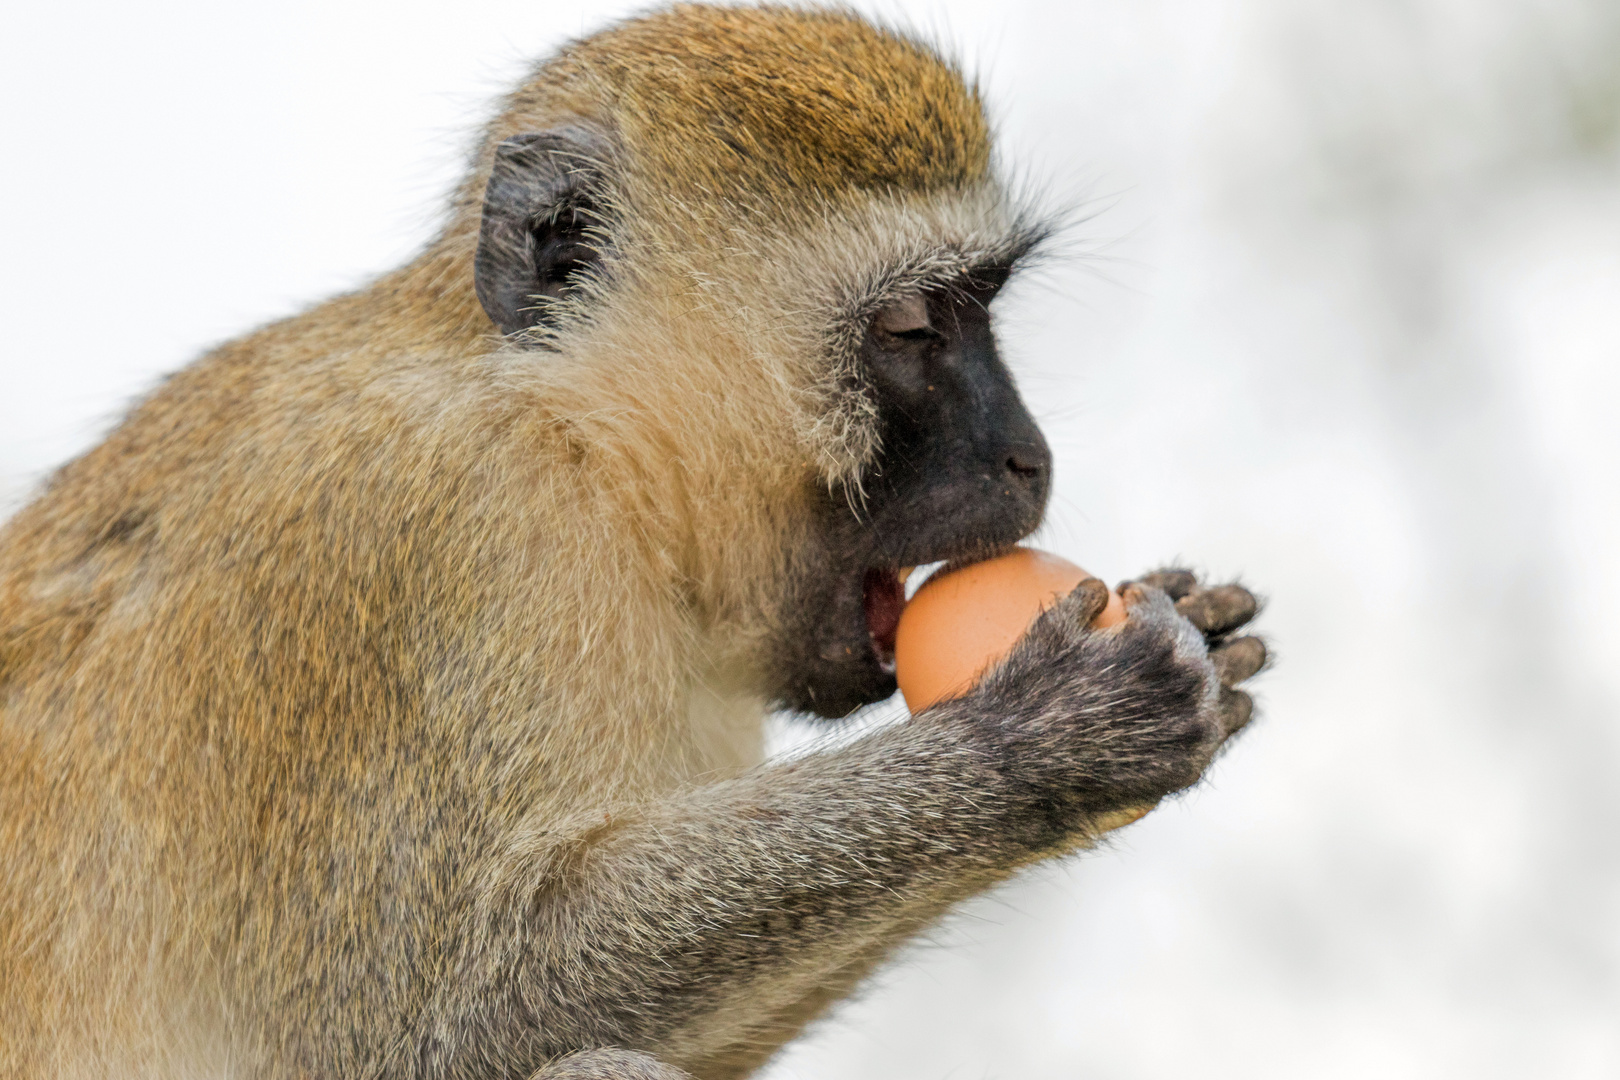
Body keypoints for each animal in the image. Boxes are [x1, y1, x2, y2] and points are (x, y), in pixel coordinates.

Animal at [0, 4, 1263, 1075]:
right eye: (913, 328)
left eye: (984, 309)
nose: (1028, 455)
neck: (581, 447)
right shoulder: (414, 537)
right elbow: (417, 1027)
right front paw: (1047, 740)